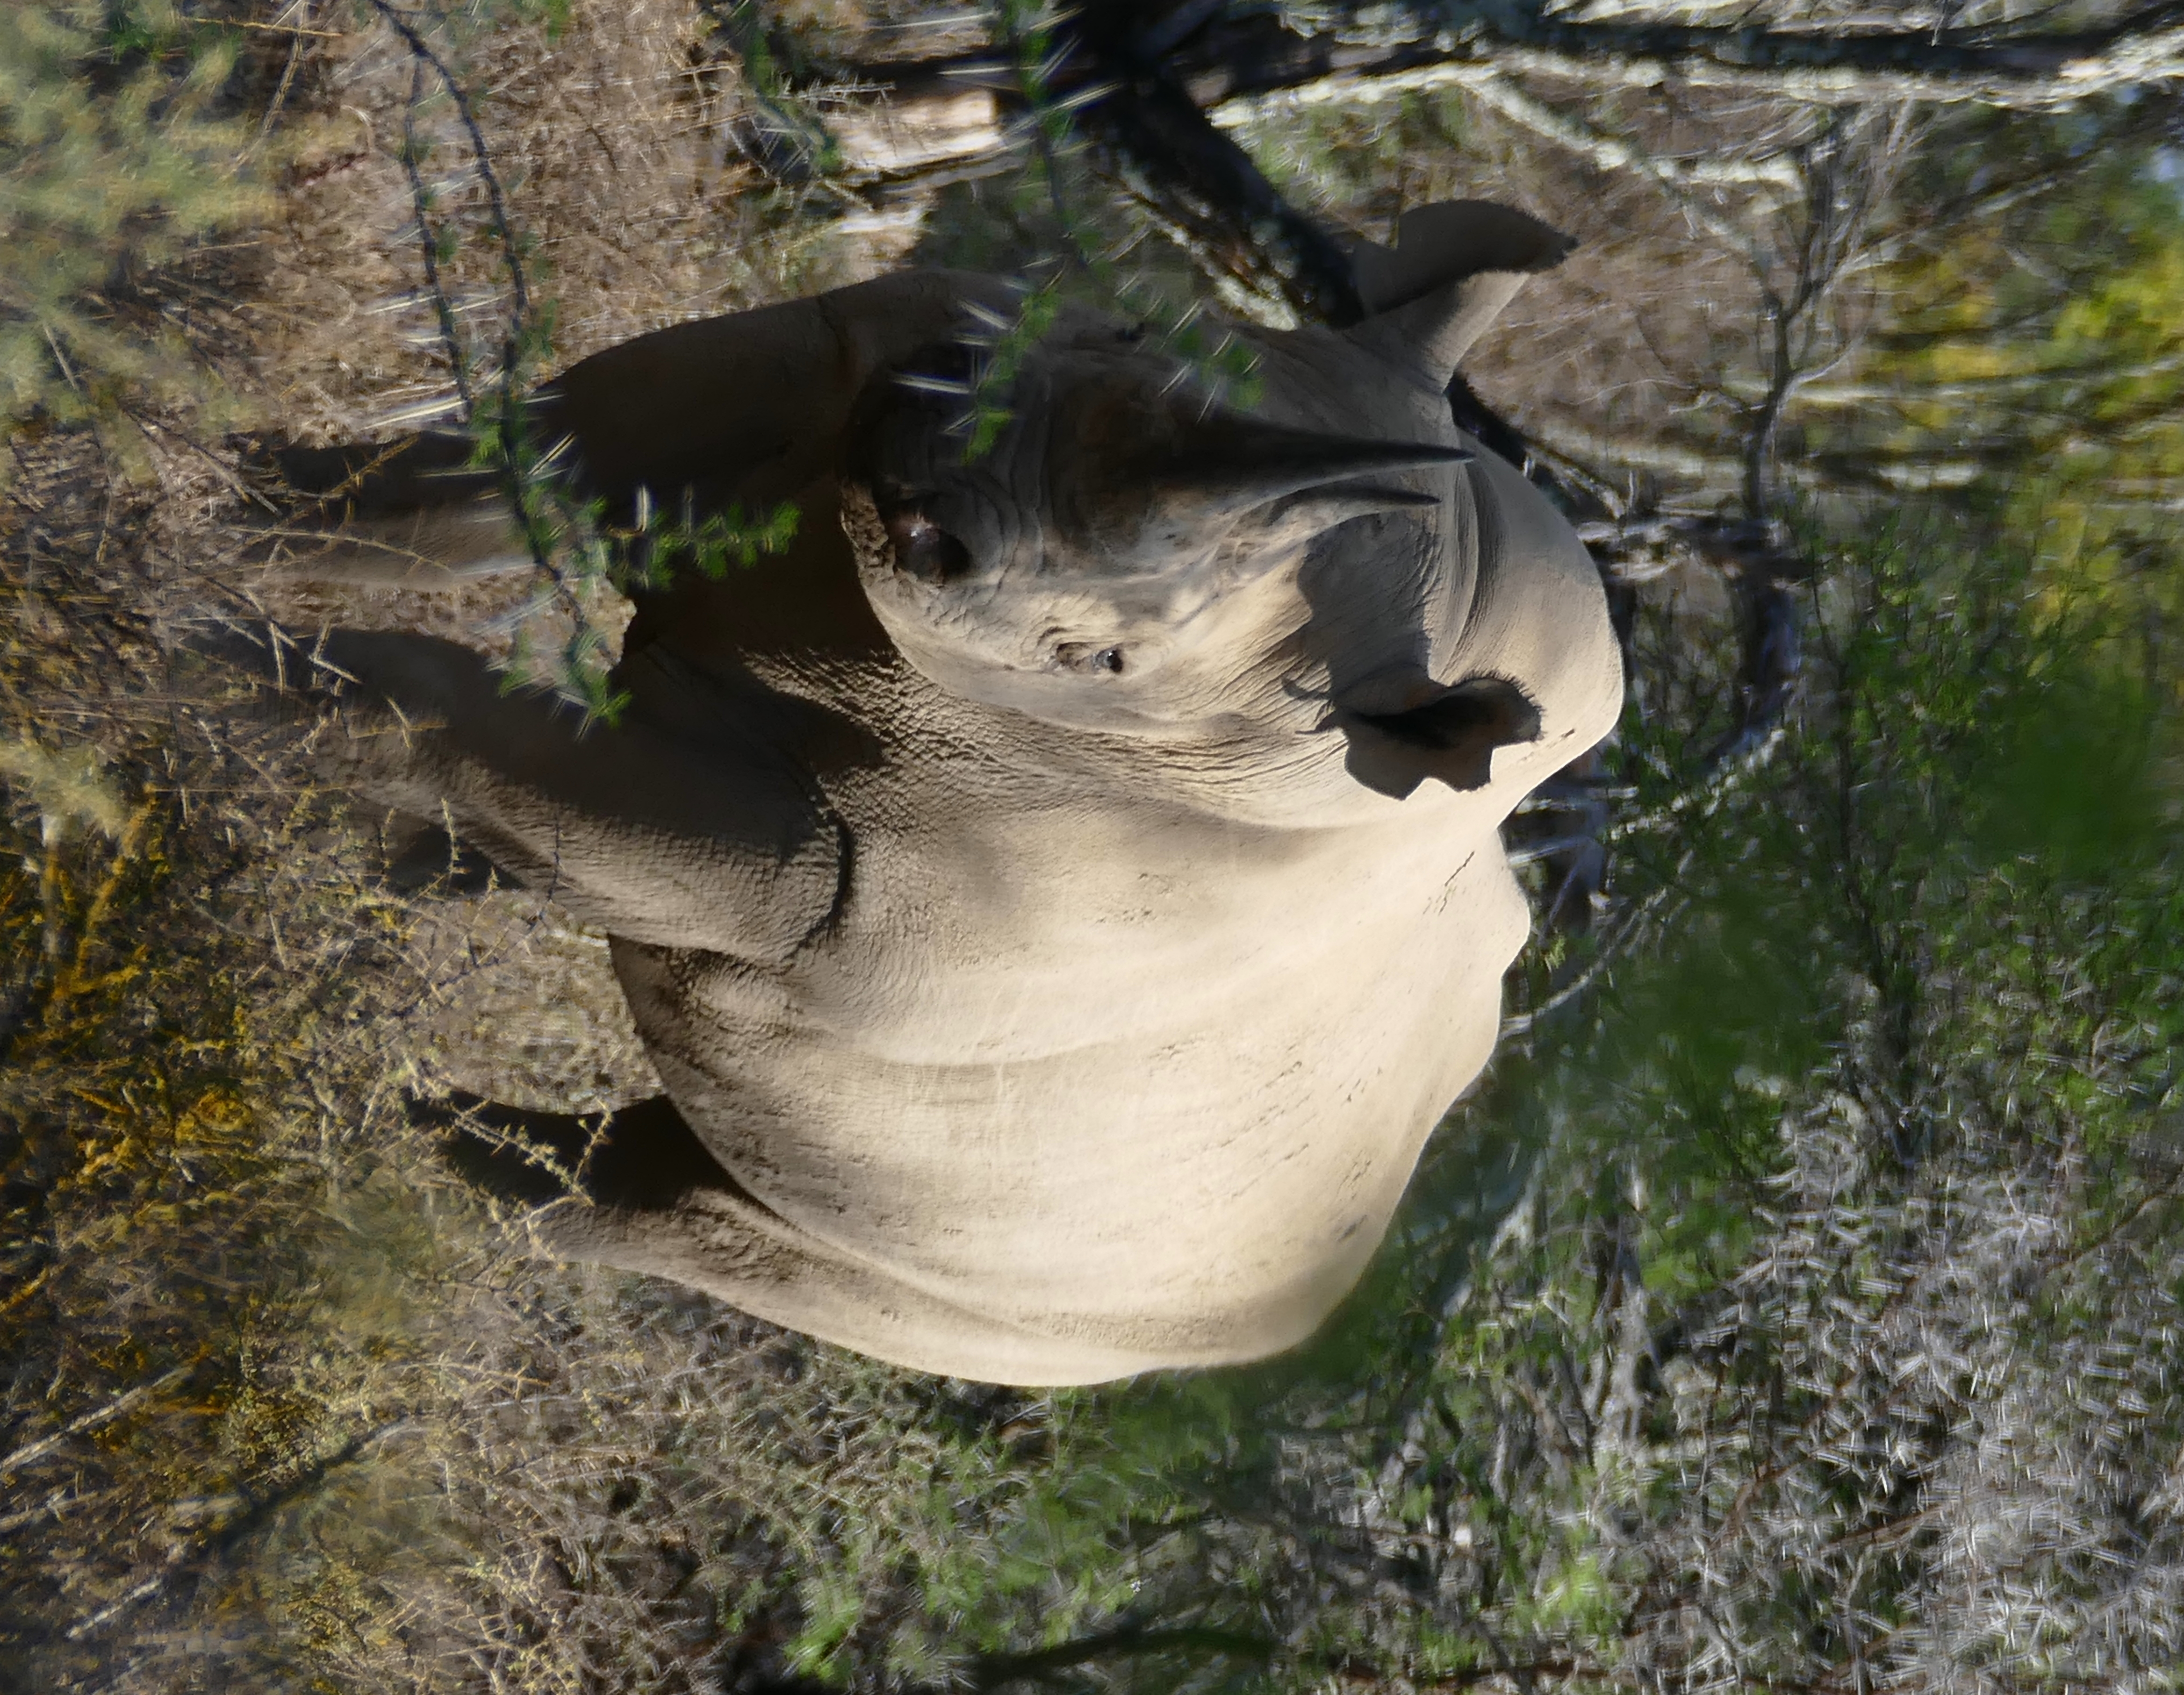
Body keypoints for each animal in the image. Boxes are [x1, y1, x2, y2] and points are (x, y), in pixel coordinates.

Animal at [256, 199, 1622, 1386]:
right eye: (1127, 332)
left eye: (1102, 659)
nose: (936, 477)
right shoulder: (836, 353)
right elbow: (480, 477)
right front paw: (222, 500)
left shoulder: (843, 874)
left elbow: (472, 716)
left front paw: (221, 679)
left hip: (1075, 1299)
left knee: (714, 1221)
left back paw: (388, 1152)